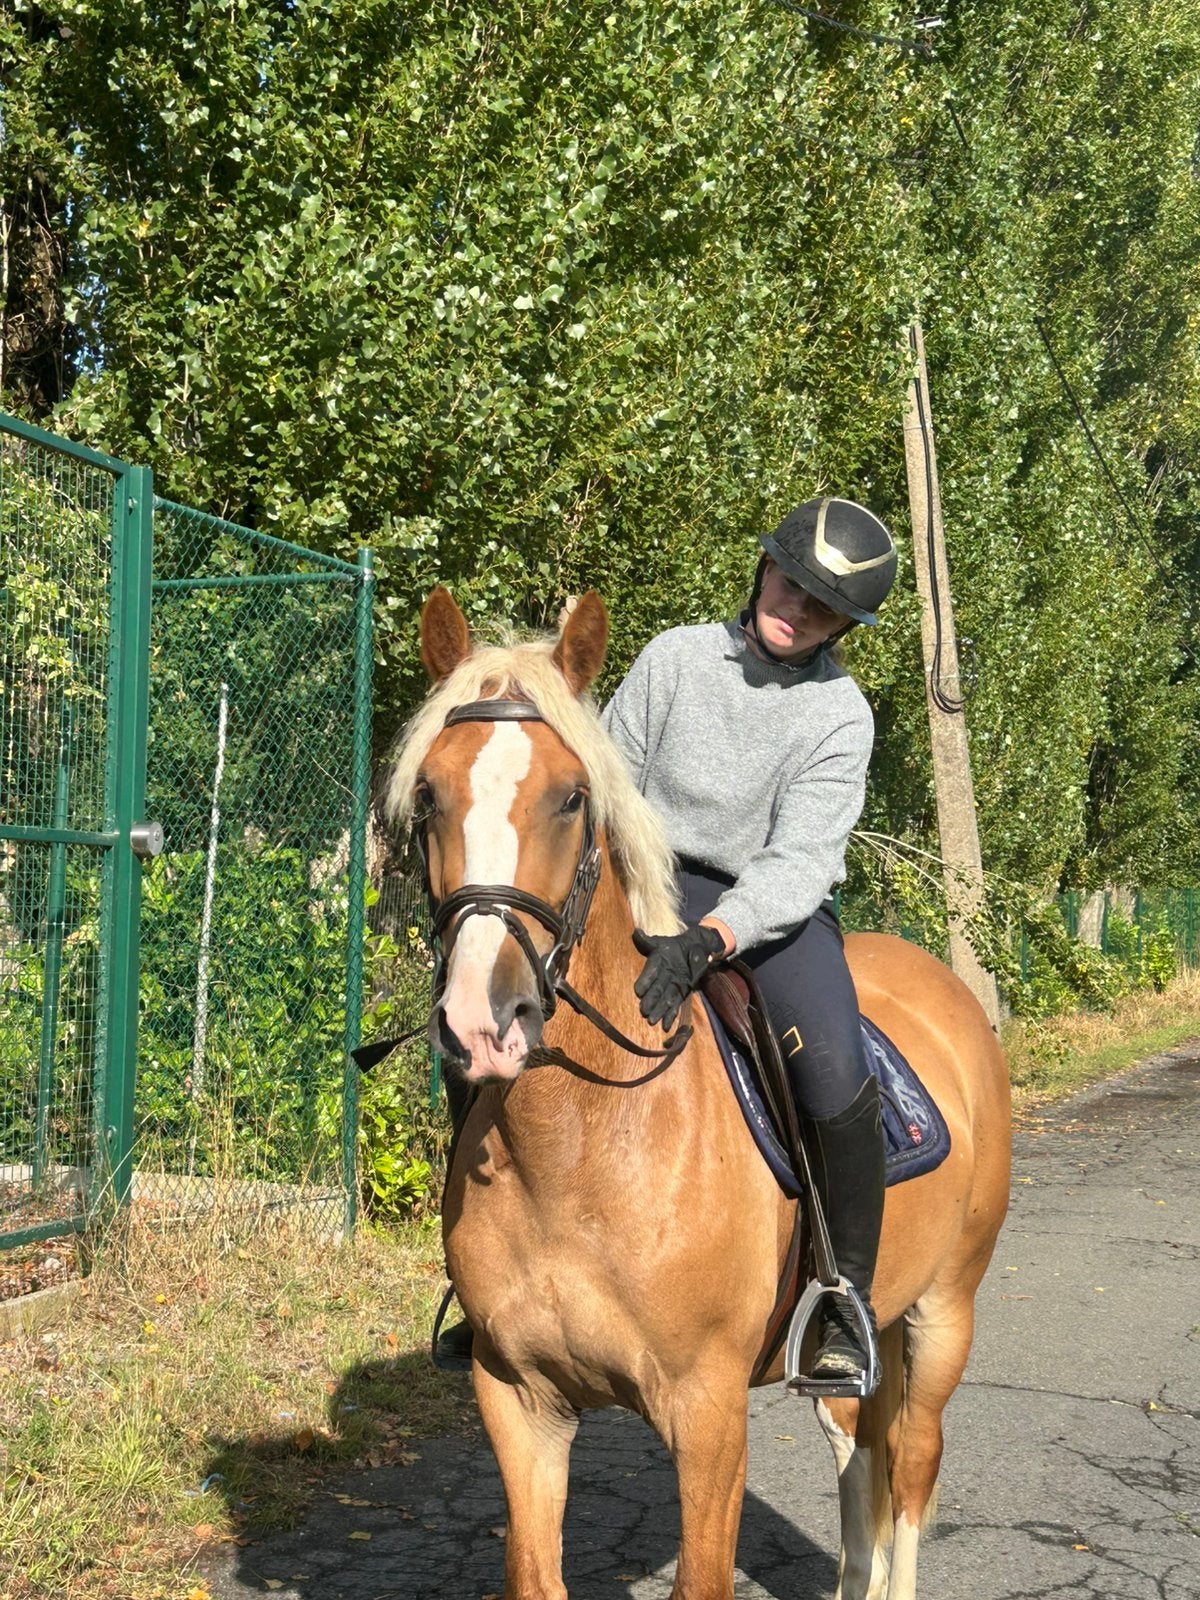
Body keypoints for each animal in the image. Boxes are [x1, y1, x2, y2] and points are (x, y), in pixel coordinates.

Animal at [385, 586, 1012, 1600]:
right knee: (858, 1458)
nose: (485, 1021)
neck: (586, 1148)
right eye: (431, 795)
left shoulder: (709, 1415)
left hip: (943, 1312)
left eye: (571, 798)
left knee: (913, 1471)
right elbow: (536, 1572)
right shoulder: (519, 1401)